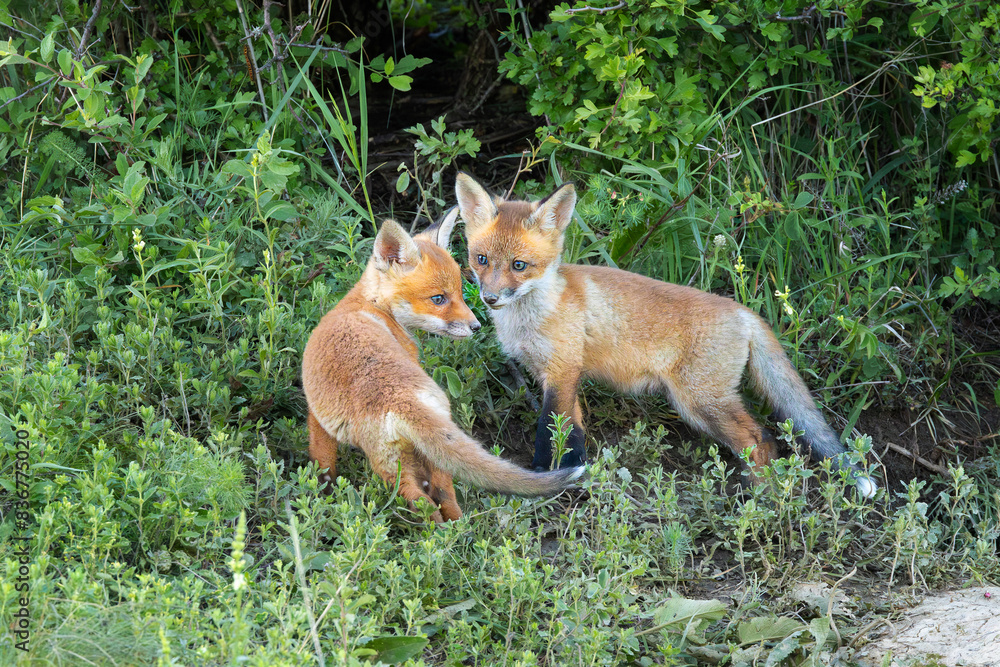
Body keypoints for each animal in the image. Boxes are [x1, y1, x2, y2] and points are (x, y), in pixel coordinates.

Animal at [301, 211, 585, 524]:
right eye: (438, 299)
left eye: (460, 293)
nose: (476, 326)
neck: (368, 305)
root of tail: (402, 400)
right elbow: (324, 462)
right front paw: (324, 491)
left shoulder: (316, 416)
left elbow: (322, 458)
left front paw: (322, 492)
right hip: (418, 457)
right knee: (443, 494)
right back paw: (455, 528)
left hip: (389, 467)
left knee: (423, 501)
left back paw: (435, 533)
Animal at [455, 172, 877, 498]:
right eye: (481, 260)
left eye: (519, 265)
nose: (490, 298)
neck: (537, 312)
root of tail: (743, 312)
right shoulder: (560, 376)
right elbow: (572, 436)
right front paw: (570, 479)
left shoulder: (561, 371)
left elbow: (549, 434)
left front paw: (543, 479)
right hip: (701, 406)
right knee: (768, 440)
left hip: (700, 401)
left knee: (759, 439)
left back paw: (760, 502)